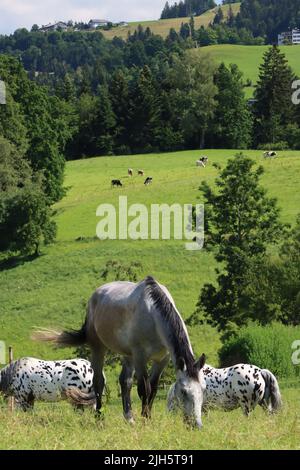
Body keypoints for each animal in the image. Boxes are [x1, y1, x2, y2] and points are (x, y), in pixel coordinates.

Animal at [34, 278, 205, 428]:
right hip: (98, 348)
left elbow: (153, 389)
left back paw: (129, 418)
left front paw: (147, 418)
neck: (153, 315)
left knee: (125, 382)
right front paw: (145, 420)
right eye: (184, 392)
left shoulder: (162, 360)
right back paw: (100, 418)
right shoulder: (140, 357)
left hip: (127, 355)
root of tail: (95, 295)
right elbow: (144, 389)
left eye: (202, 390)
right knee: (99, 382)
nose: (196, 424)